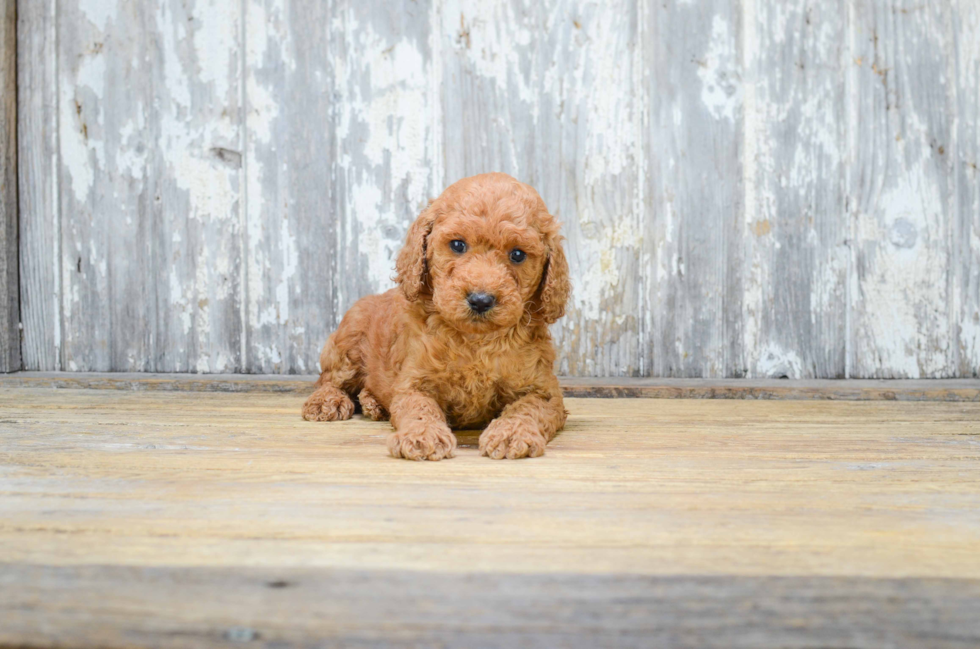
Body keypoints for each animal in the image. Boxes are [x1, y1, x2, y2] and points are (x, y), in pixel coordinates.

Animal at [302, 170, 572, 458]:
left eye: (518, 254)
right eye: (458, 245)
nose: (480, 300)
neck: (476, 341)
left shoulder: (544, 391)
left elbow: (528, 409)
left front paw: (512, 433)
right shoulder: (414, 383)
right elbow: (419, 407)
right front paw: (422, 435)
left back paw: (374, 403)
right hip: (348, 343)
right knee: (329, 379)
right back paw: (326, 401)